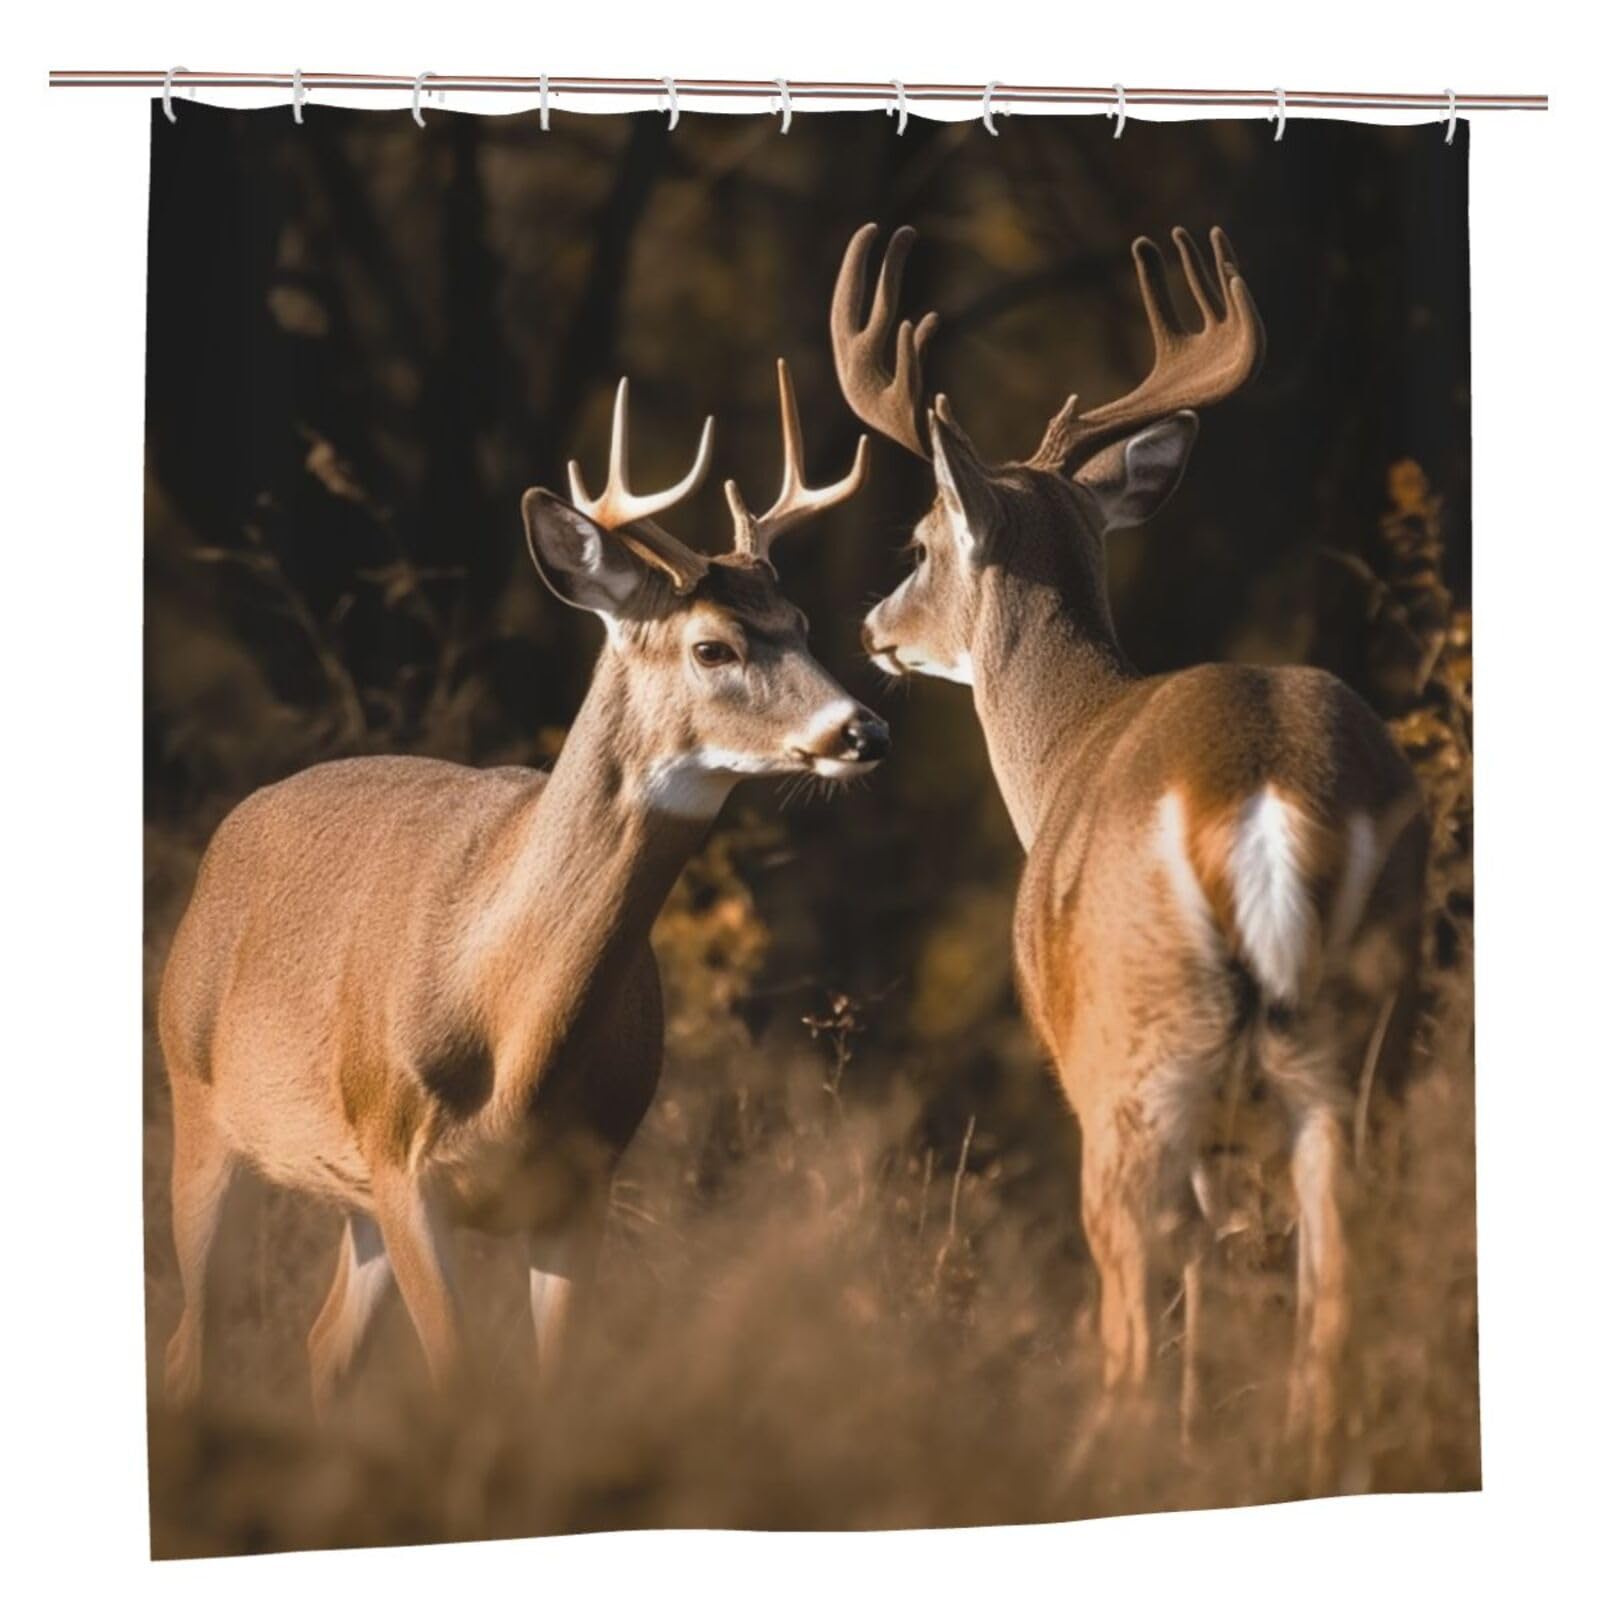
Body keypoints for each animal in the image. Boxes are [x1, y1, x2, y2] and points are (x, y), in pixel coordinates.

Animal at [159, 364, 885, 1418]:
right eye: (713, 646)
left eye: (801, 626)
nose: (863, 729)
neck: (512, 1040)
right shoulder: (404, 1160)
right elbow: (462, 1382)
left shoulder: (582, 1185)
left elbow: (553, 1391)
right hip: (200, 1107)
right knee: (190, 1343)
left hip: (350, 1195)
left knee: (322, 1344)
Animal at [831, 222, 1425, 1489]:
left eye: (919, 541)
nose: (870, 629)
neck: (1063, 744)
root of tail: (1259, 786)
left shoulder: (1078, 1046)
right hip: (1361, 1030)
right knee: (1334, 1254)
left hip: (1133, 1043)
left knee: (1134, 1280)